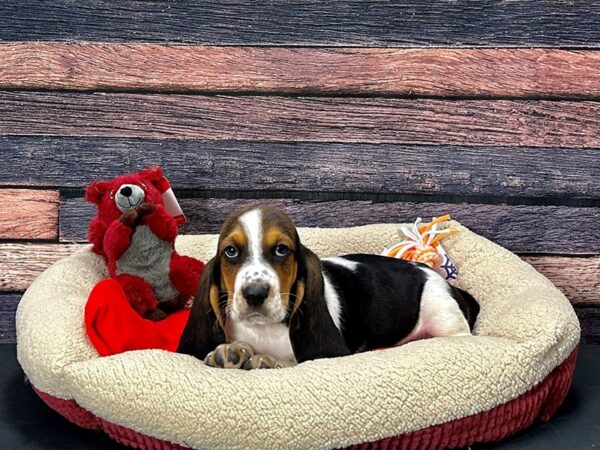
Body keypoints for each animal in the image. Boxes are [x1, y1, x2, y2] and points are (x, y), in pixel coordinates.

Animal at [177, 207, 478, 370]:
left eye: (282, 249)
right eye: (230, 252)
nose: (255, 294)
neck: (266, 329)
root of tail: (434, 275)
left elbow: (293, 361)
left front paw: (266, 361)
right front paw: (229, 353)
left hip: (444, 319)